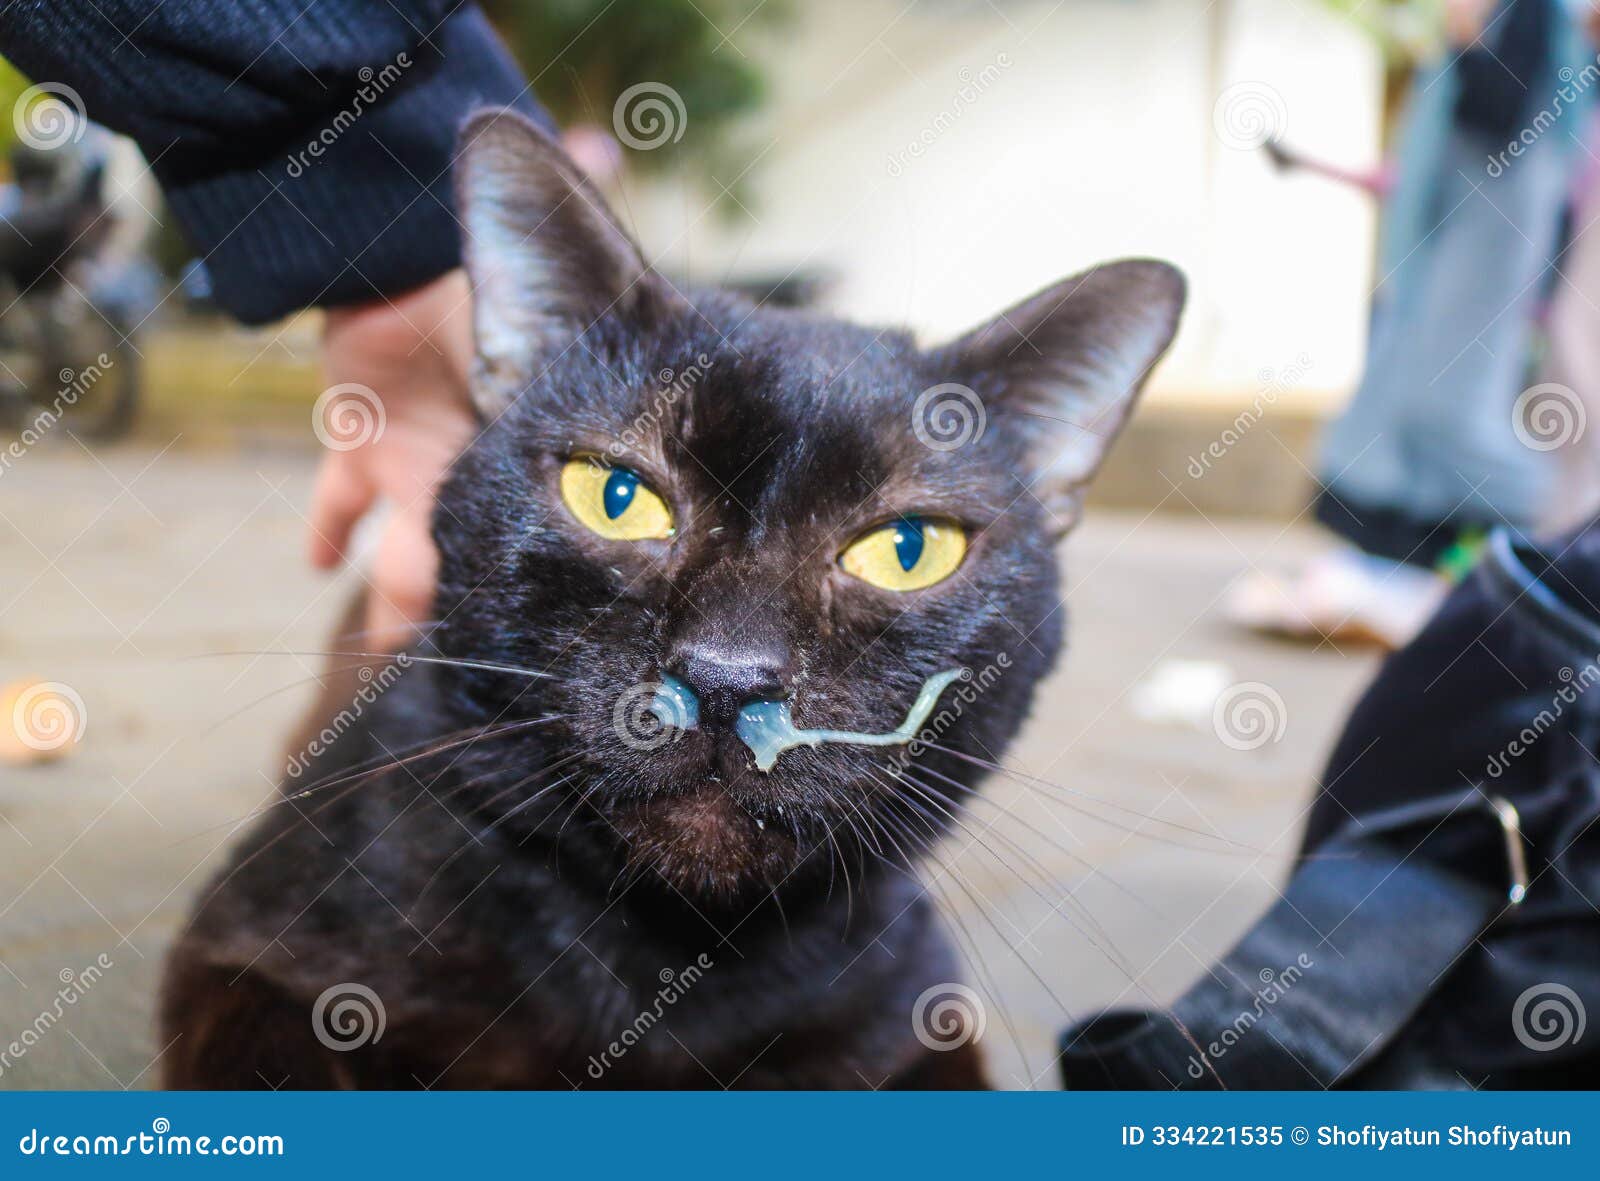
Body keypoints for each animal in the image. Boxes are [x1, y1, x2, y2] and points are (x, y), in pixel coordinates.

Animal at [162, 110, 1184, 1088]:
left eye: (907, 549)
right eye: (615, 495)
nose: (728, 675)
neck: (658, 965)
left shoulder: (911, 1019)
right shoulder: (248, 954)